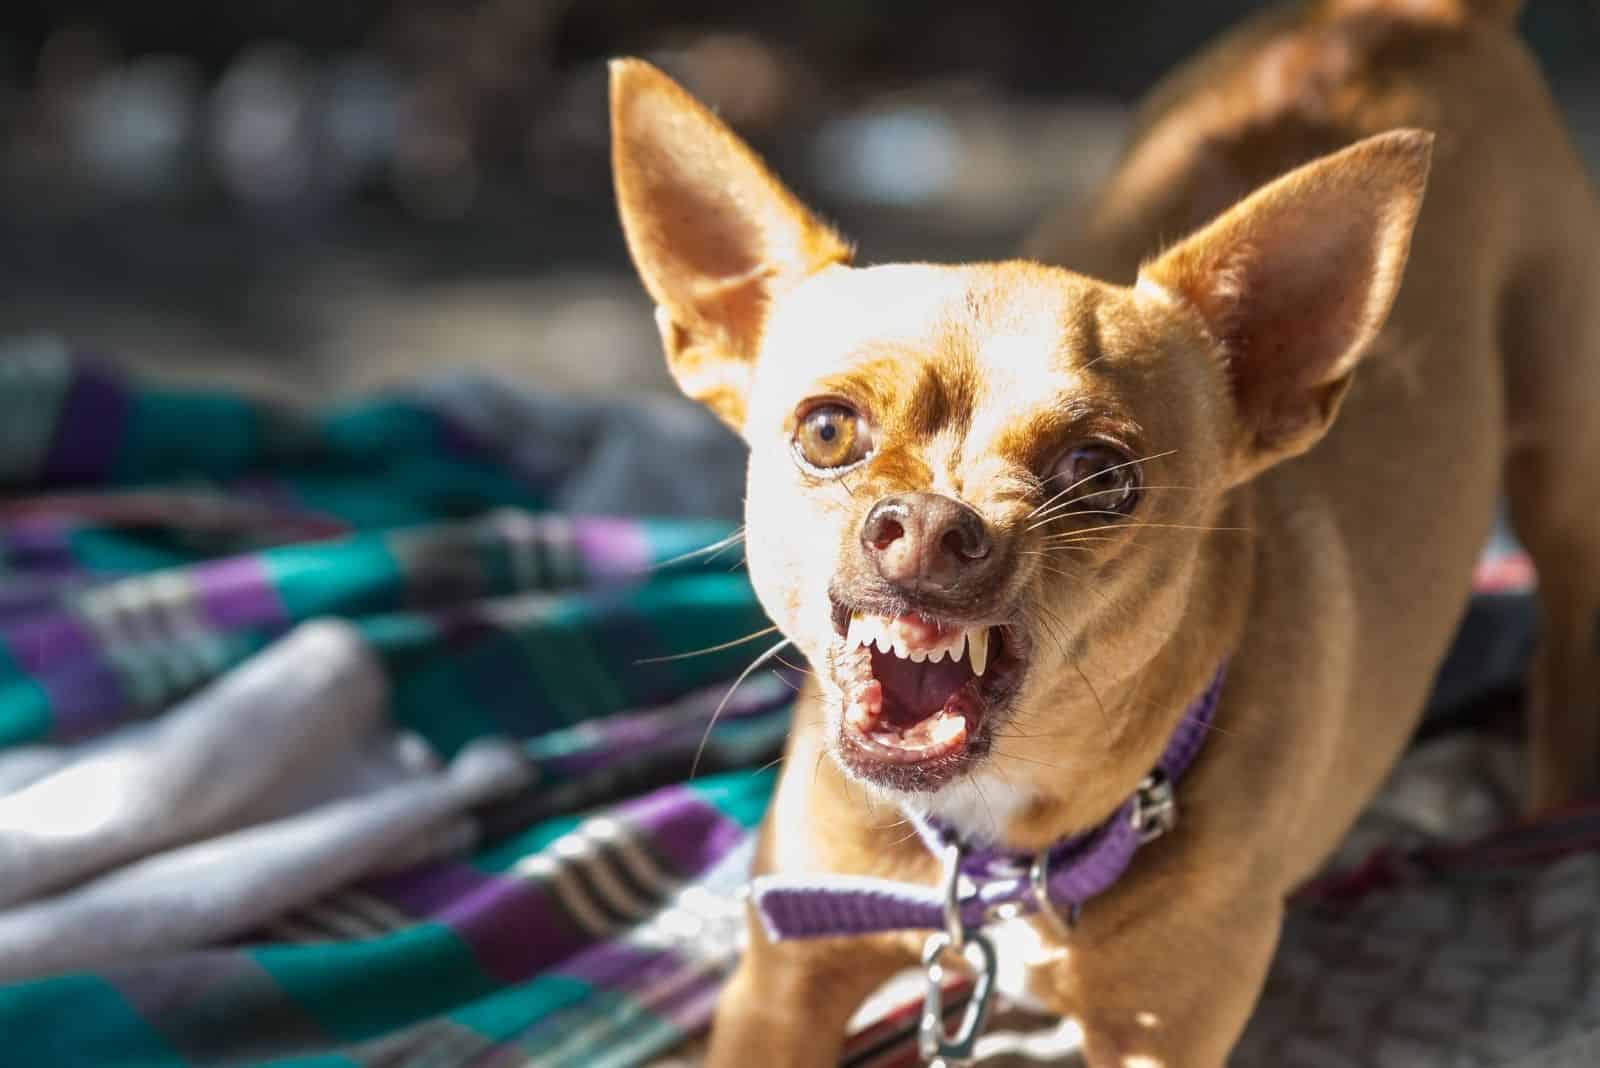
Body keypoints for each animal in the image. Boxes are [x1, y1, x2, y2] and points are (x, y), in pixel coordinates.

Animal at [608, 0, 1600, 1061]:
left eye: (1098, 475)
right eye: (827, 431)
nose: (930, 523)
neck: (994, 853)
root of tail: (1415, 16)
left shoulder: (1156, 1039)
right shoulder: (782, 987)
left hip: (1561, 474)